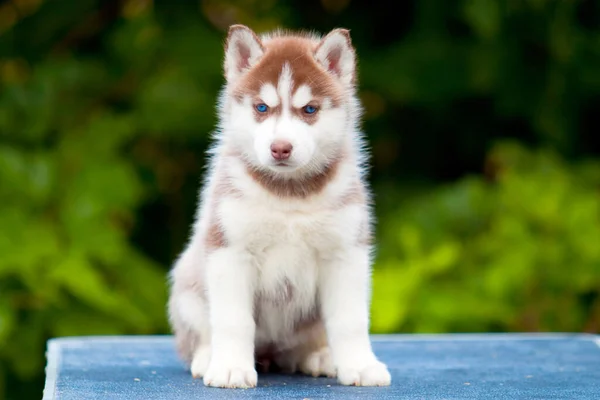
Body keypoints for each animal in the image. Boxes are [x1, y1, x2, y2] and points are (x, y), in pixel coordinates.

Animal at [168, 24, 394, 388]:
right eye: (262, 108)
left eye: (309, 110)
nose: (281, 148)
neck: (289, 195)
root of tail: (270, 352)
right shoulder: (230, 250)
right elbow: (233, 320)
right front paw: (230, 367)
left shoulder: (345, 253)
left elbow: (350, 320)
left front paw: (360, 366)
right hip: (188, 286)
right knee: (198, 336)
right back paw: (206, 357)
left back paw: (319, 356)